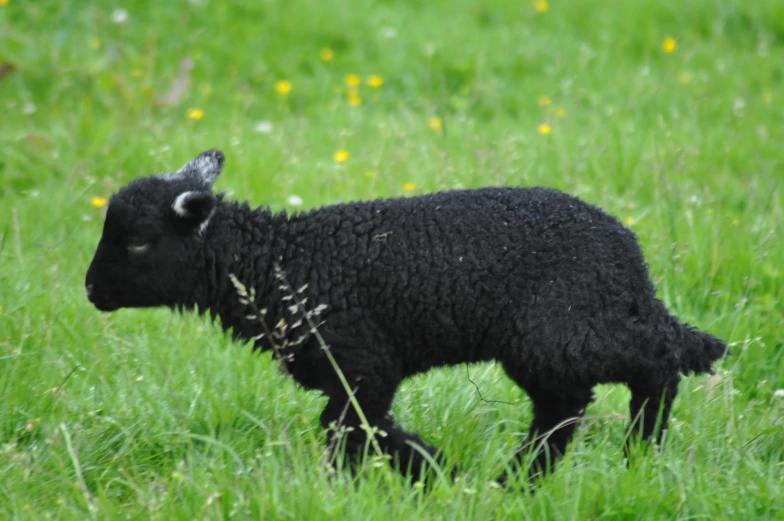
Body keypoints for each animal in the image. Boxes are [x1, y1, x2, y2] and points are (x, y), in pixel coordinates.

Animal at [82, 149, 724, 484]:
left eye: (137, 242)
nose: (89, 291)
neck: (277, 266)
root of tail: (629, 256)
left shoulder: (363, 361)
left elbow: (351, 429)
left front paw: (416, 474)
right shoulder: (353, 374)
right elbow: (364, 427)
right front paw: (437, 471)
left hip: (560, 330)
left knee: (656, 359)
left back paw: (638, 451)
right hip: (554, 339)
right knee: (563, 406)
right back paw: (515, 482)